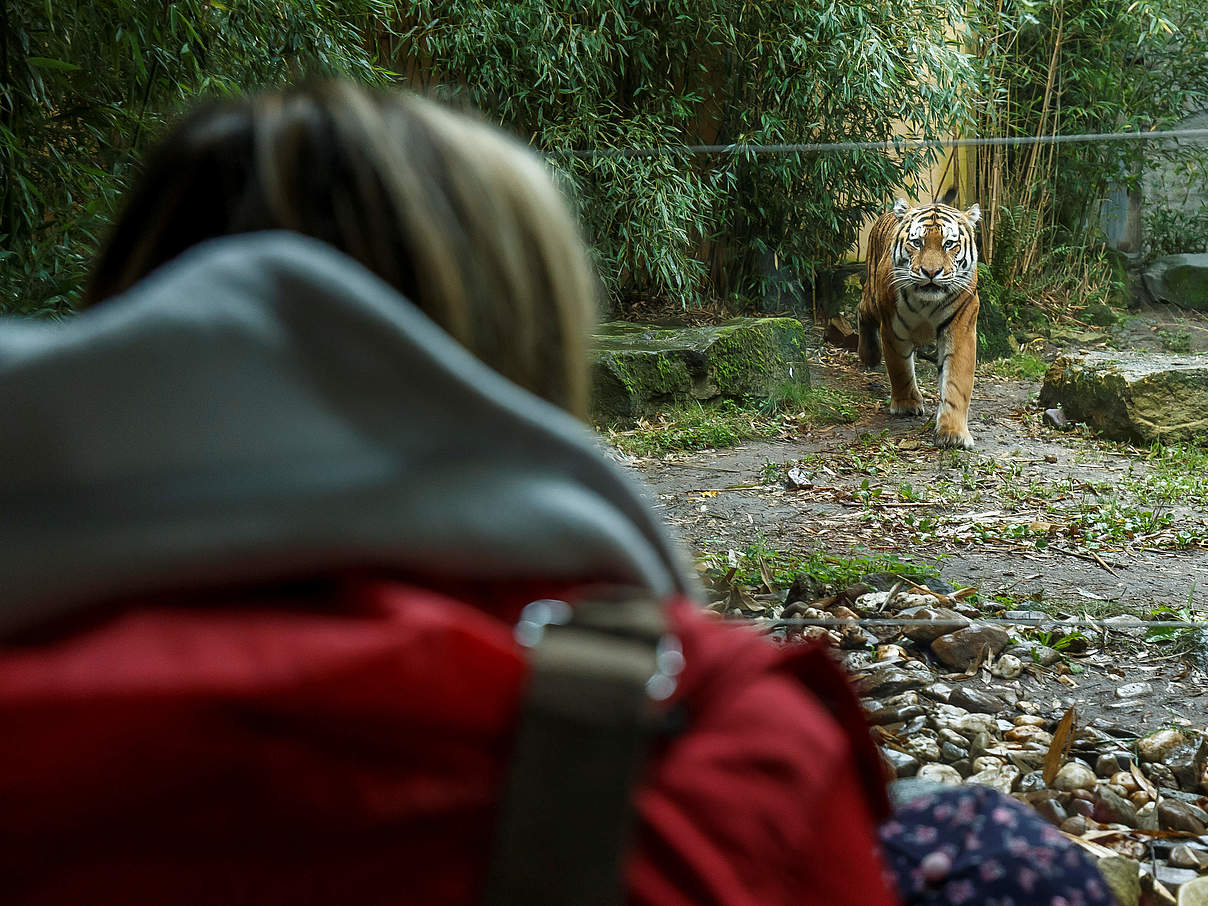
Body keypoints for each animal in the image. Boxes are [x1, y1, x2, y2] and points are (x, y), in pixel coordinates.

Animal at [860, 194, 980, 451]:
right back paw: (870, 355)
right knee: (862, 310)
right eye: (917, 243)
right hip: (873, 299)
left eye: (948, 244)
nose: (931, 272)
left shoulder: (960, 328)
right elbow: (900, 368)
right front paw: (906, 404)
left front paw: (953, 433)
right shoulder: (893, 328)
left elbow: (956, 383)